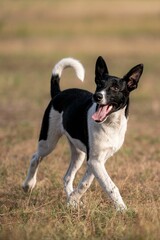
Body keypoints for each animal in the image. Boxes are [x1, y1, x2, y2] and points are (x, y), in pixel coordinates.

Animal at [22, 56, 144, 210]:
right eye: (99, 85)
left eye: (115, 88)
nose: (97, 96)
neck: (110, 124)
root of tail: (58, 93)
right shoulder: (95, 161)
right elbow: (110, 186)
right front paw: (122, 209)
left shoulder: (97, 160)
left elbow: (85, 183)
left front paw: (73, 200)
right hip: (48, 142)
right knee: (35, 158)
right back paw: (28, 185)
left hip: (78, 154)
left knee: (67, 177)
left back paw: (71, 199)